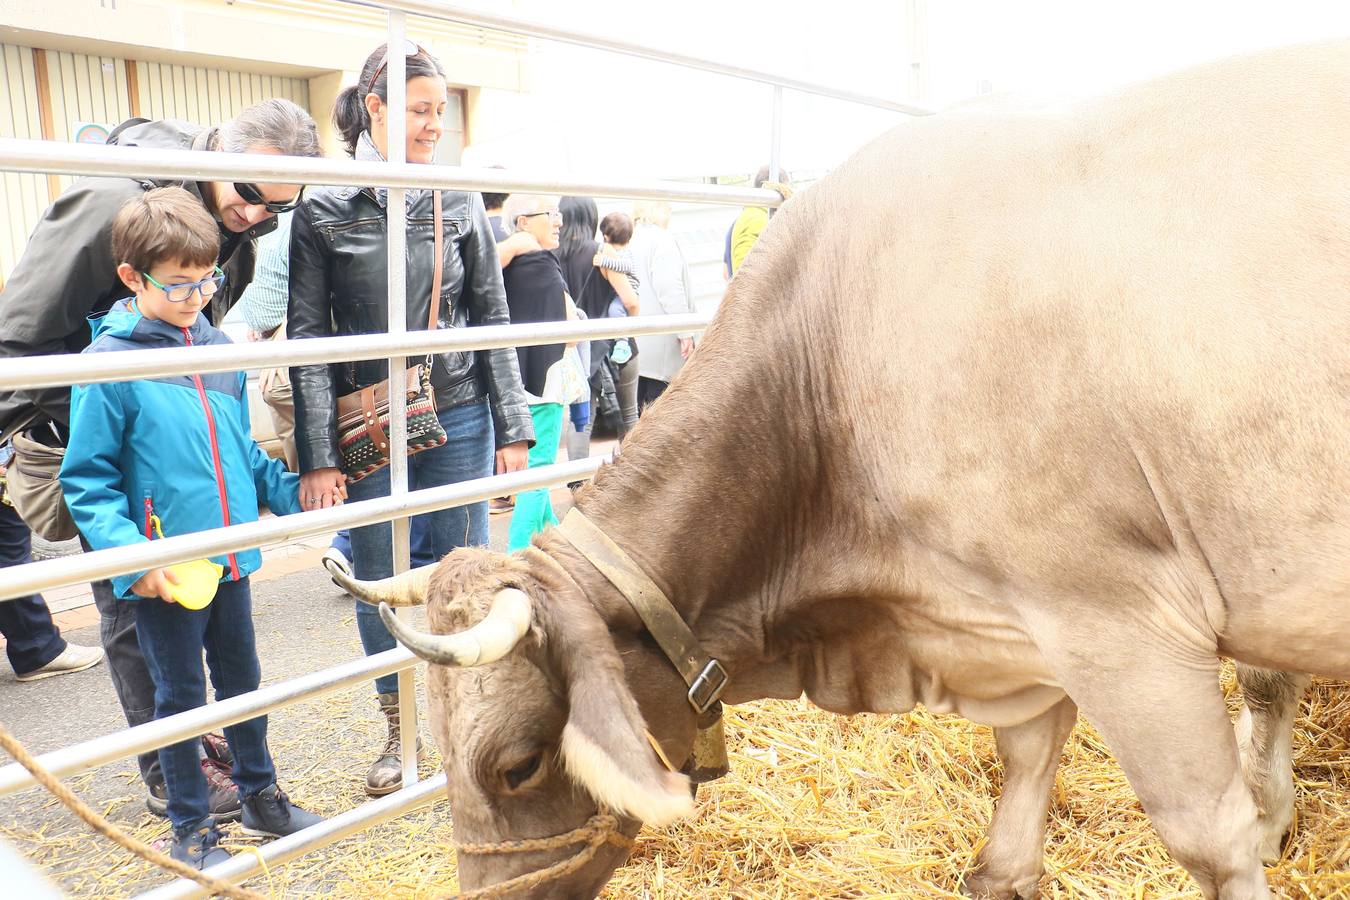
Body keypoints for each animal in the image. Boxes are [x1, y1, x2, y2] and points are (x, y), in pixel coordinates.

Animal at [332, 38, 1344, 895]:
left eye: (516, 764)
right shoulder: (1015, 621)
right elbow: (1031, 751)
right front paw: (1004, 869)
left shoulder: (1118, 620)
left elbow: (1211, 833)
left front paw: (1261, 823)